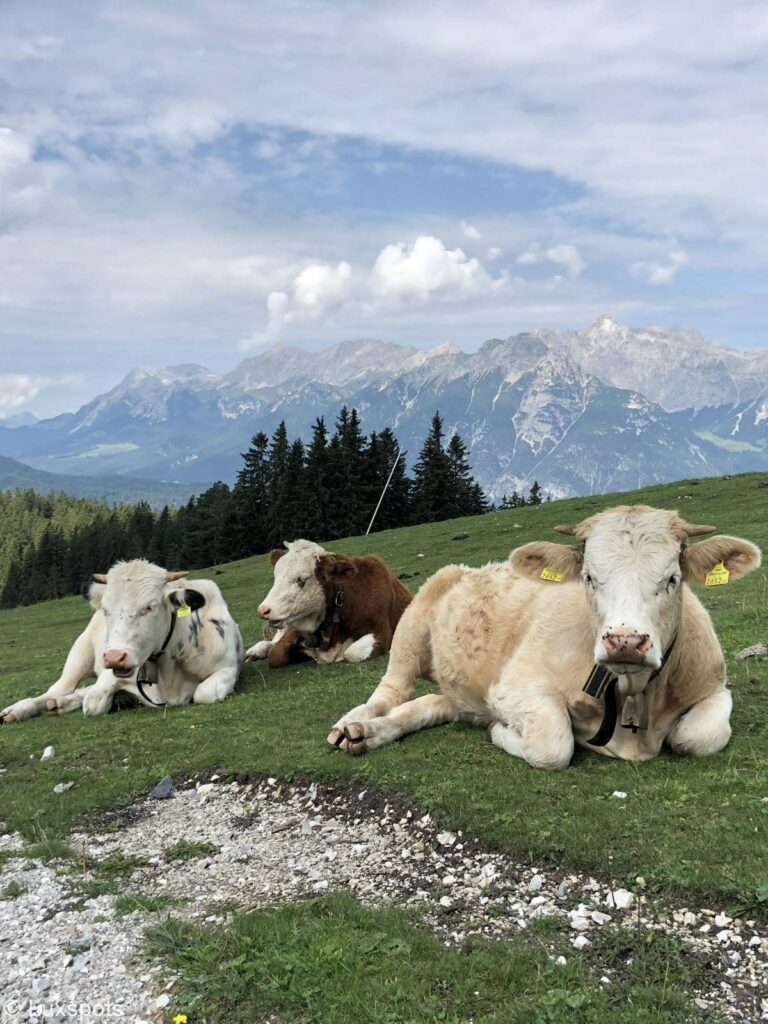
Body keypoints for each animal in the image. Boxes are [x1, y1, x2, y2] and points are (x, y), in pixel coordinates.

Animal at [0, 560, 243, 723]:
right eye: (106, 609)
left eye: (150, 607)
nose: (115, 657)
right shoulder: (111, 673)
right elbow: (93, 702)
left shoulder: (228, 668)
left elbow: (205, 693)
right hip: (79, 654)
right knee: (58, 690)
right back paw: (19, 709)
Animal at [245, 539, 412, 667]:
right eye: (276, 577)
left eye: (301, 579)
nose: (264, 610)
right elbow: (275, 654)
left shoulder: (382, 632)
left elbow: (352, 652)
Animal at [327, 506, 761, 768]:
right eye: (588, 577)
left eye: (672, 578)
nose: (624, 640)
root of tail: (470, 567)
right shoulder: (513, 687)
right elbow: (554, 745)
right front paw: (501, 731)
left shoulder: (714, 687)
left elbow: (699, 736)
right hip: (413, 625)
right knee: (391, 690)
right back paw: (352, 722)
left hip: (460, 688)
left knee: (433, 703)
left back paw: (368, 733)